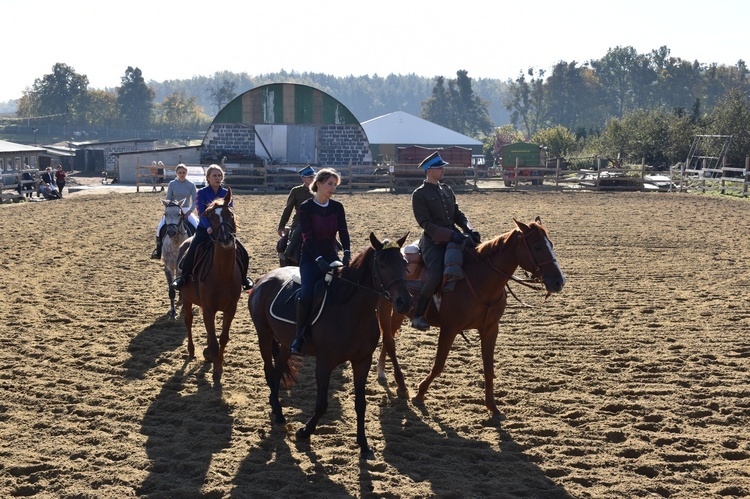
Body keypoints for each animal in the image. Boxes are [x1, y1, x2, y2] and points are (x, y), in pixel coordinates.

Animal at [176, 189, 241, 384]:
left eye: (230, 214)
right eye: (211, 218)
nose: (226, 239)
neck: (223, 274)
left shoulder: (230, 309)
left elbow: (223, 339)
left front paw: (218, 364)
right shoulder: (209, 309)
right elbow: (213, 342)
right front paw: (216, 372)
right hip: (187, 299)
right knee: (188, 321)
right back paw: (191, 351)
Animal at [248, 234, 414, 460]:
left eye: (404, 263)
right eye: (381, 264)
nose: (405, 302)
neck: (352, 311)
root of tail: (263, 279)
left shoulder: (362, 361)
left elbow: (360, 404)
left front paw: (364, 445)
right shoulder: (324, 363)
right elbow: (321, 404)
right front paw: (304, 432)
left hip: (284, 343)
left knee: (277, 371)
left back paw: (277, 411)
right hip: (264, 334)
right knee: (268, 370)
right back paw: (280, 416)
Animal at [378, 219, 568, 422]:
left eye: (551, 244)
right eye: (537, 246)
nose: (559, 281)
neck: (480, 280)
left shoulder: (490, 329)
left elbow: (489, 369)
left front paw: (493, 407)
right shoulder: (449, 329)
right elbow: (439, 365)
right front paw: (420, 394)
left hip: (400, 312)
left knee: (389, 337)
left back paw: (383, 373)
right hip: (386, 308)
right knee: (388, 338)